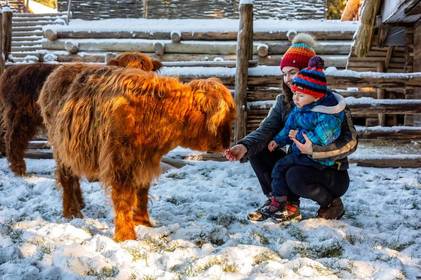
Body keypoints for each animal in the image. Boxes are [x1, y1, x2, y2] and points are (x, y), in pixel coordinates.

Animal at [38, 65, 236, 241]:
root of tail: (57, 71)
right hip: (61, 147)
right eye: (224, 118)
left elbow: (142, 192)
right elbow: (124, 198)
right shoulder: (120, 161)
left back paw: (80, 204)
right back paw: (72, 212)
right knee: (66, 177)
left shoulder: (145, 162)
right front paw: (126, 236)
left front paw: (144, 222)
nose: (227, 142)